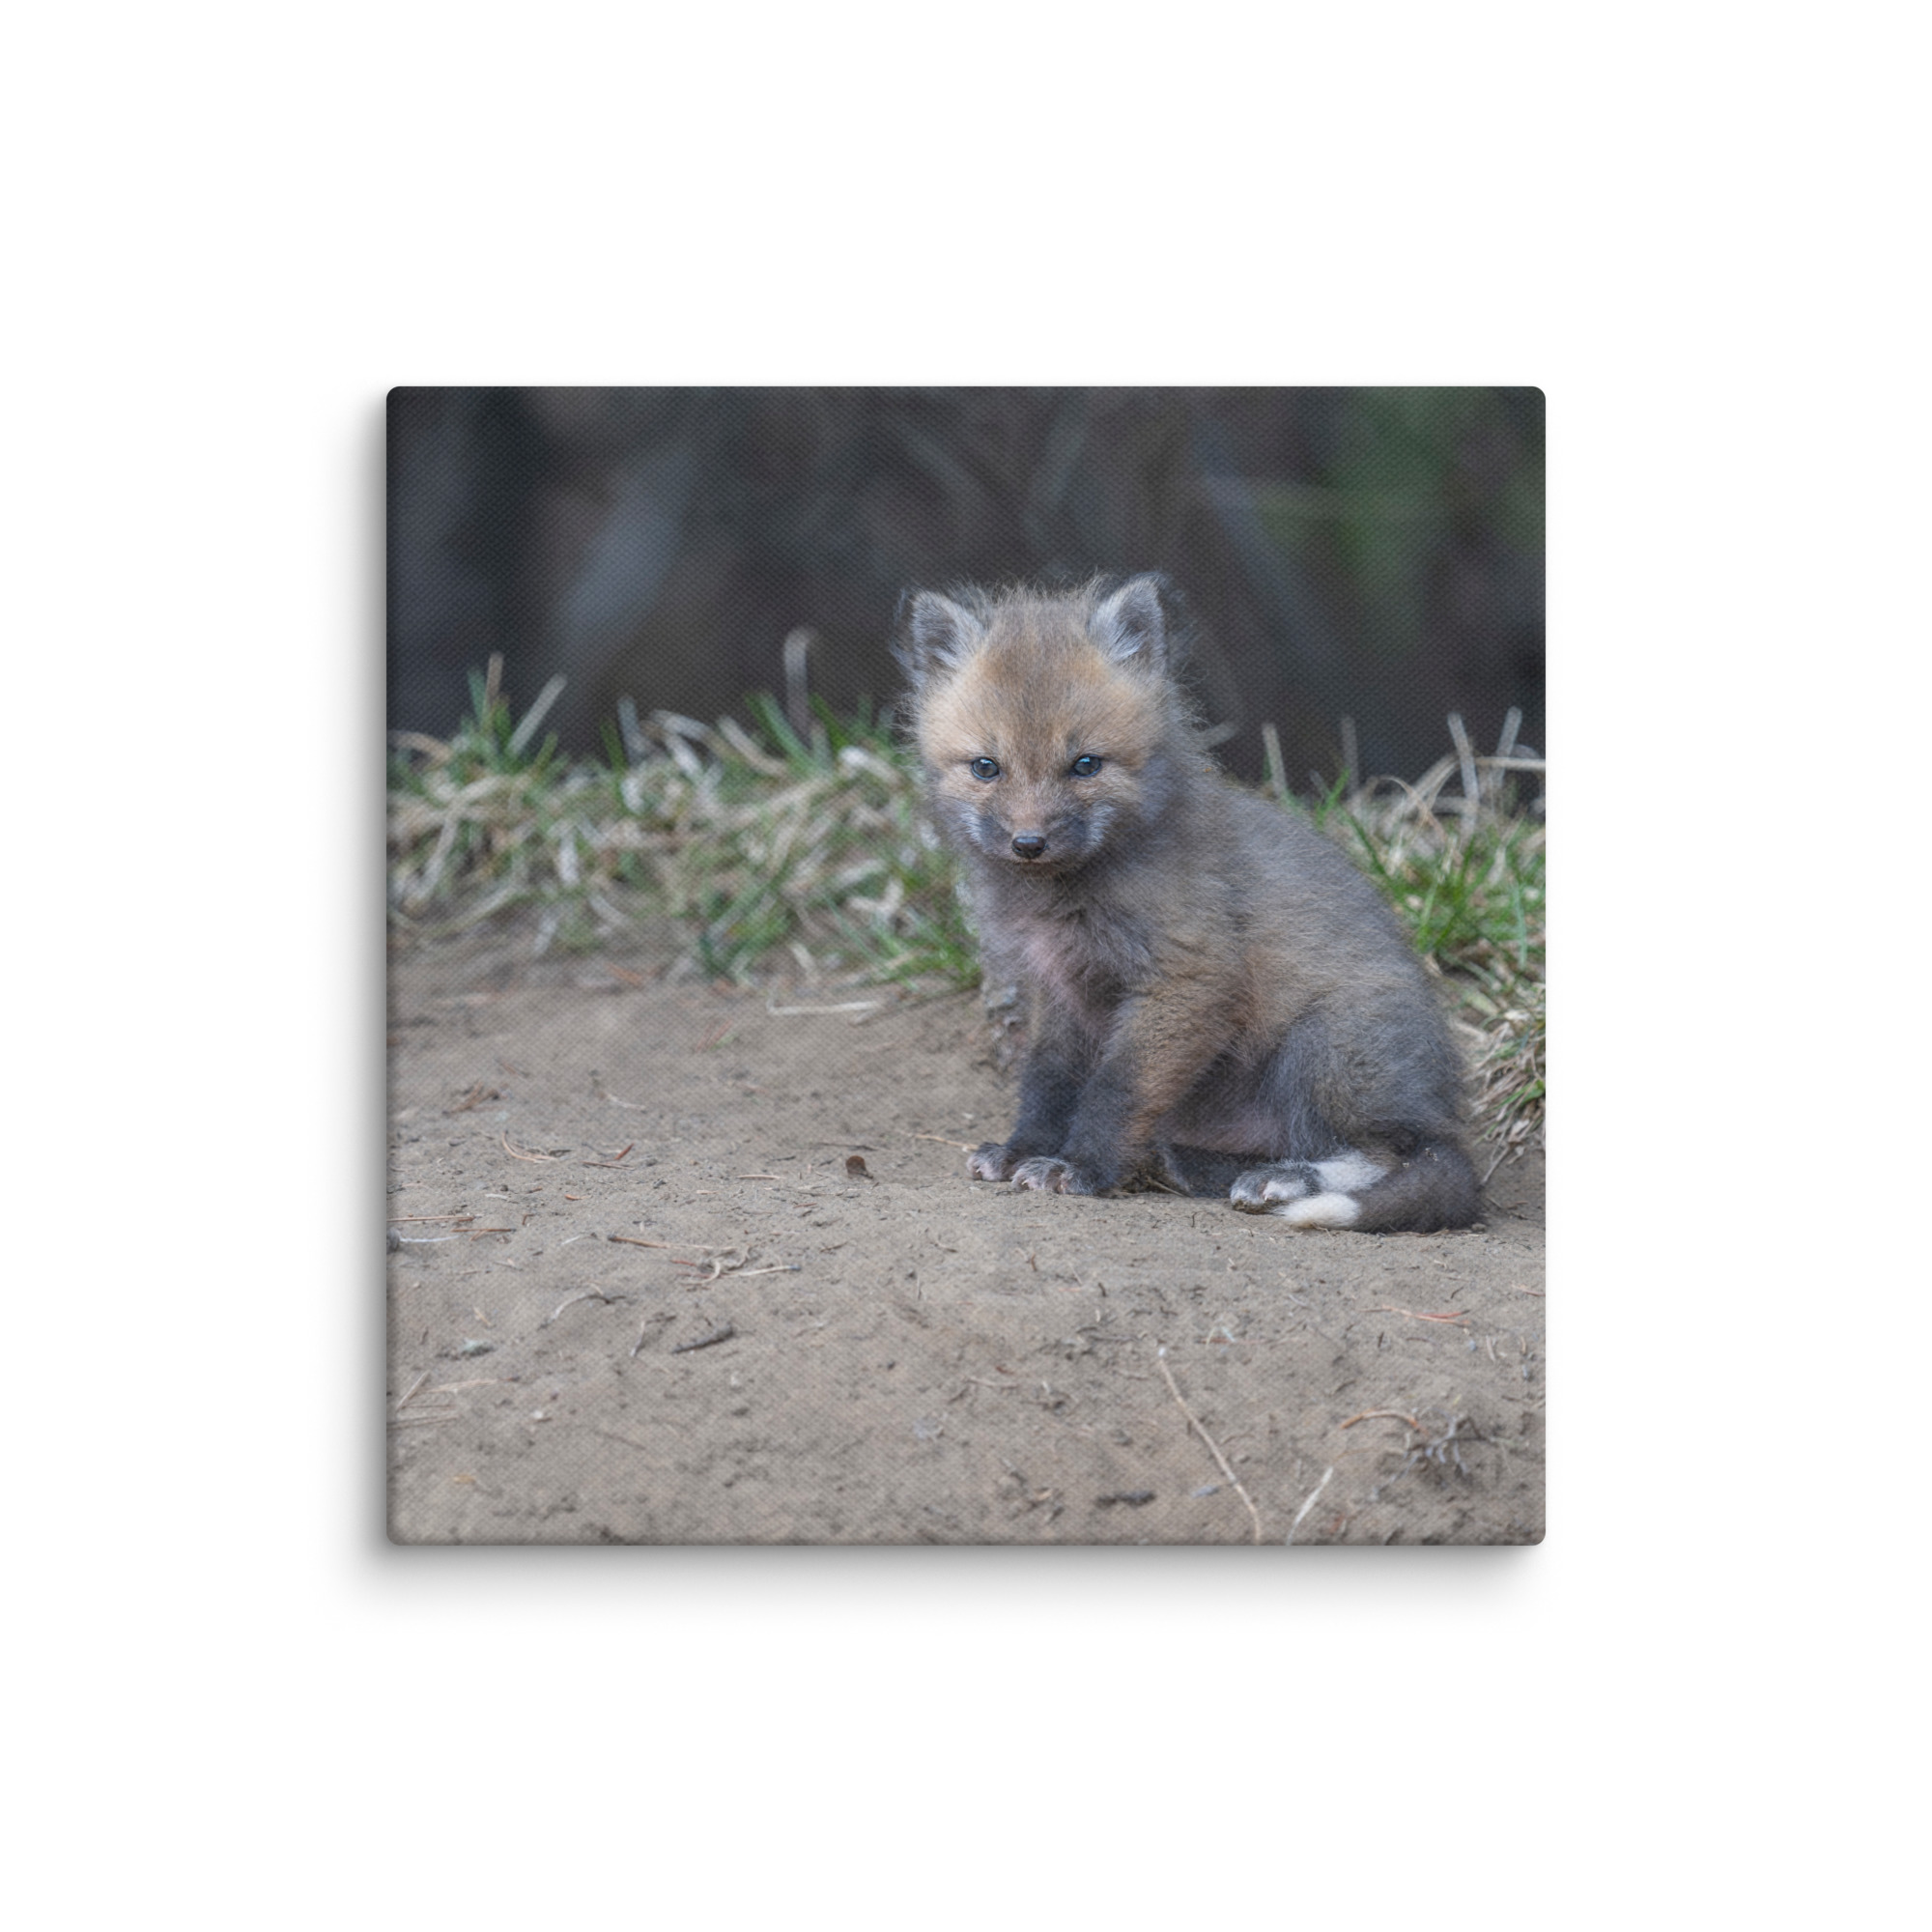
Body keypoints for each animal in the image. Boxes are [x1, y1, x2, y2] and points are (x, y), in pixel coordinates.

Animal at [894, 573, 1480, 1233]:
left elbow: (1116, 1089)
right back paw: (1196, 1165)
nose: (1028, 843)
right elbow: (1048, 1081)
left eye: (1085, 765)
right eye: (986, 767)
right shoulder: (1061, 990)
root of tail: (1441, 1106)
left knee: (1398, 1155)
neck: (1065, 899)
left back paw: (1285, 1180)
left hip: (1324, 1047)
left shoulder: (1187, 978)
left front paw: (1081, 1168)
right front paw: (1025, 1150)